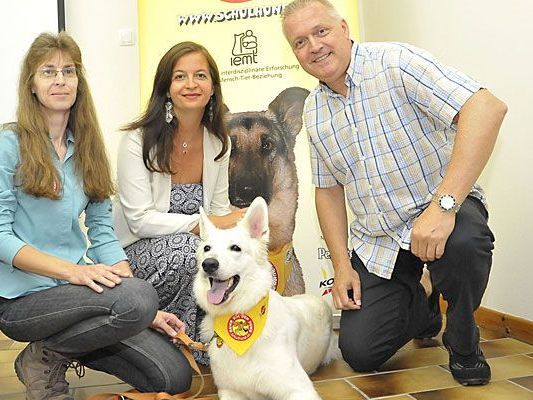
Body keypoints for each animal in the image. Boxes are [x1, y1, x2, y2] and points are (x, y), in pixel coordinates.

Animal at [193, 197, 338, 400]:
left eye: (235, 248)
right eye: (207, 248)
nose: (208, 264)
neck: (238, 314)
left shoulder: (299, 389)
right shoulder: (229, 391)